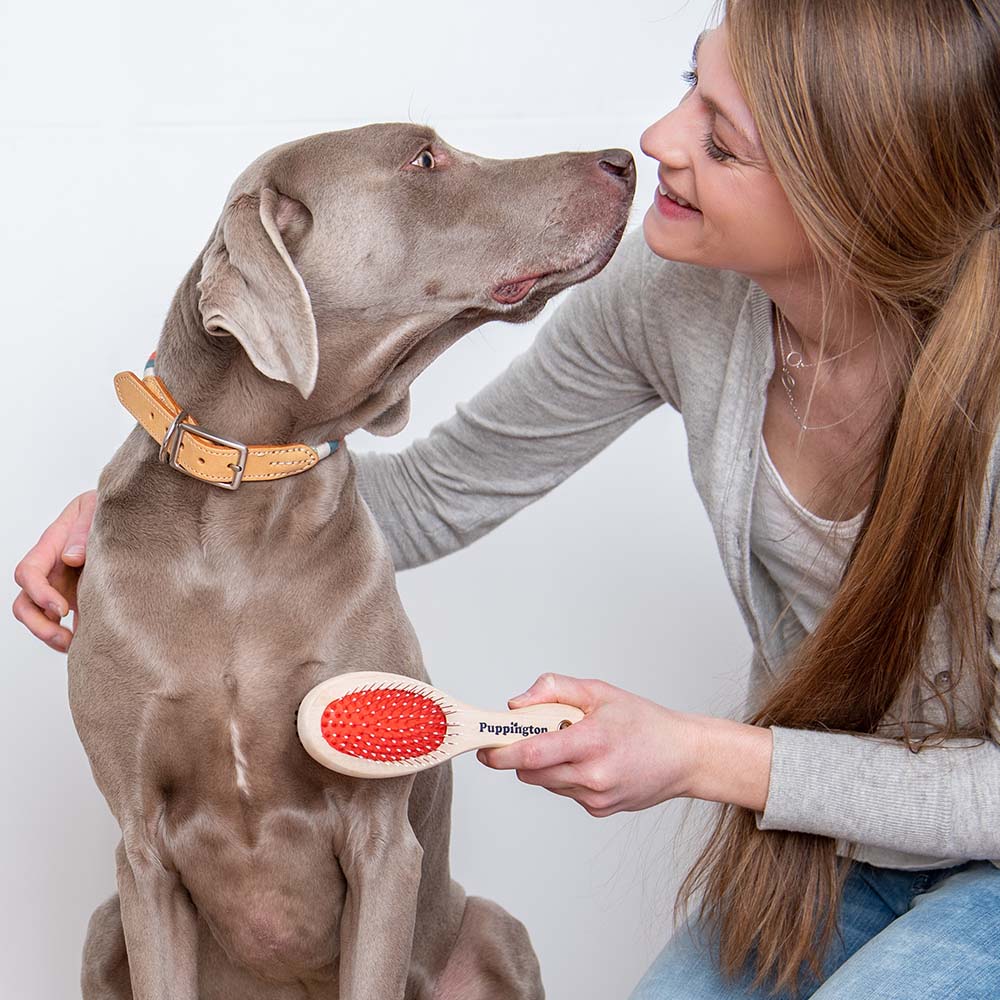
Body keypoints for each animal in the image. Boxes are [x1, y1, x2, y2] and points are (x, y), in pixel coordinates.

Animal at [68, 125, 632, 1000]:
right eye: (424, 159)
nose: (627, 161)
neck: (241, 517)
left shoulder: (381, 840)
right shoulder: (142, 850)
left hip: (498, 930)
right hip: (103, 929)